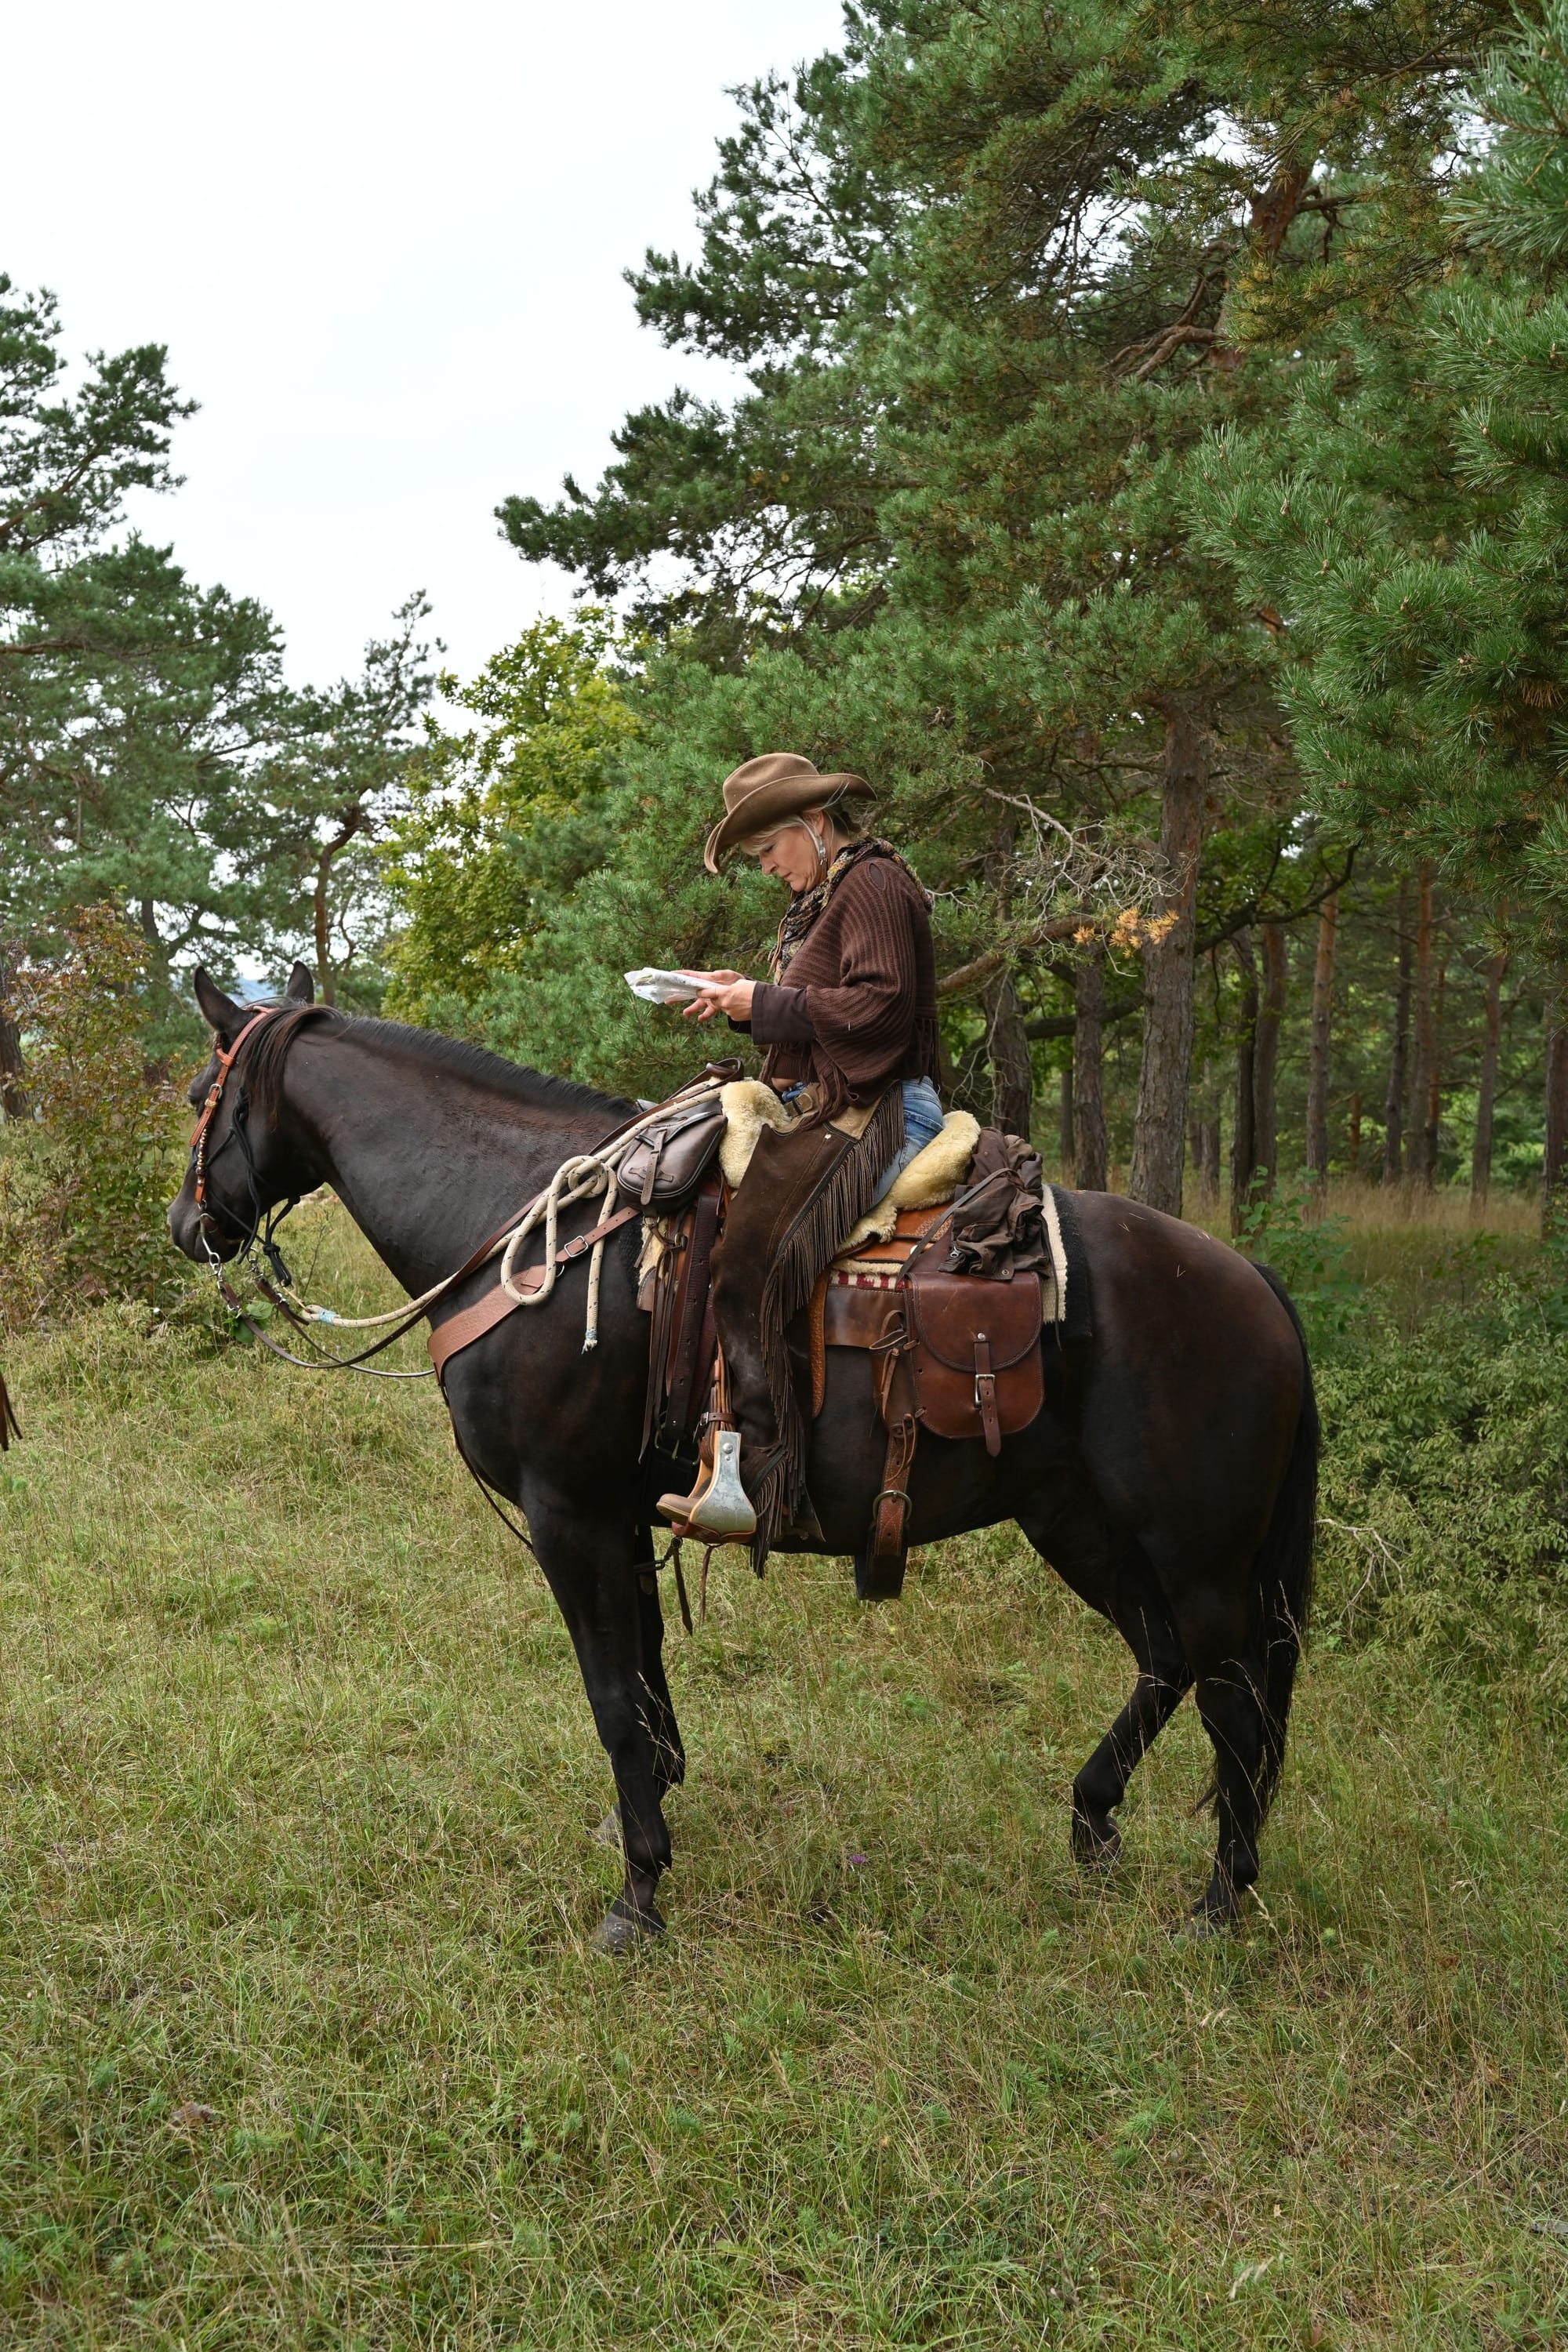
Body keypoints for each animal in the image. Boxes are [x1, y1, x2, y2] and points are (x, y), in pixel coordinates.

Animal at [171, 969, 1316, 1947]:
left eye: (195, 1093)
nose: (188, 1227)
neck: (521, 1224)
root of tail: (1252, 1278)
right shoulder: (620, 1513)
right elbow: (646, 1682)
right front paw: (647, 1820)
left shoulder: (566, 1511)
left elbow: (610, 1696)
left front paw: (637, 1893)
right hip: (1076, 1519)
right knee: (1164, 1658)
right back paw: (1092, 1819)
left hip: (1197, 1551)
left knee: (1234, 1702)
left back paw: (1219, 1901)